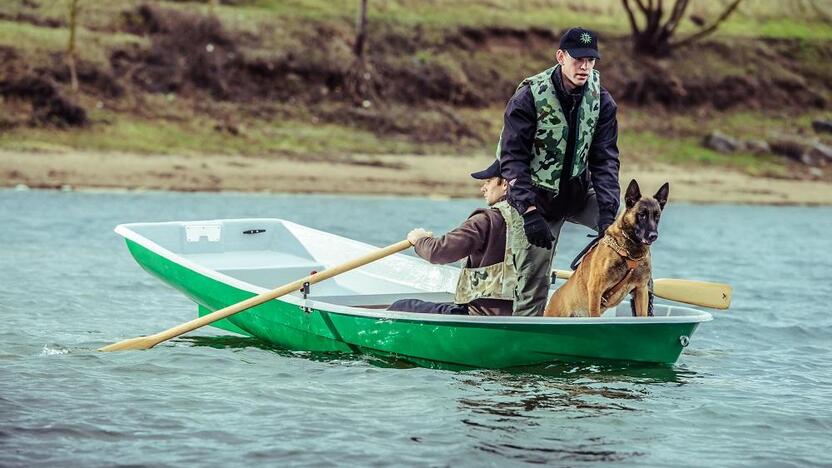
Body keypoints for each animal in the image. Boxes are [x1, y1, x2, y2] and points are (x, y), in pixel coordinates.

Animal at [544, 180, 668, 318]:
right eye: (642, 215)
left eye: (657, 216)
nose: (653, 236)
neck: (629, 253)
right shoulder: (596, 290)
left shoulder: (641, 290)